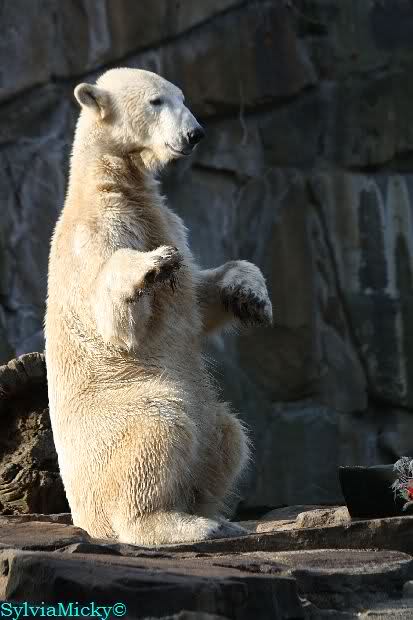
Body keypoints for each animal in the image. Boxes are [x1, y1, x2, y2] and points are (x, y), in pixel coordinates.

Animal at [45, 68, 272, 545]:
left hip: (207, 417)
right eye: (156, 101)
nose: (195, 133)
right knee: (159, 430)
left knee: (227, 434)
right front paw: (153, 265)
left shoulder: (168, 219)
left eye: (182, 98)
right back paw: (185, 524)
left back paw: (215, 514)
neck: (112, 184)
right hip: (122, 411)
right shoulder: (98, 231)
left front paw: (250, 296)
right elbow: (113, 315)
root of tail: (83, 516)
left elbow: (199, 297)